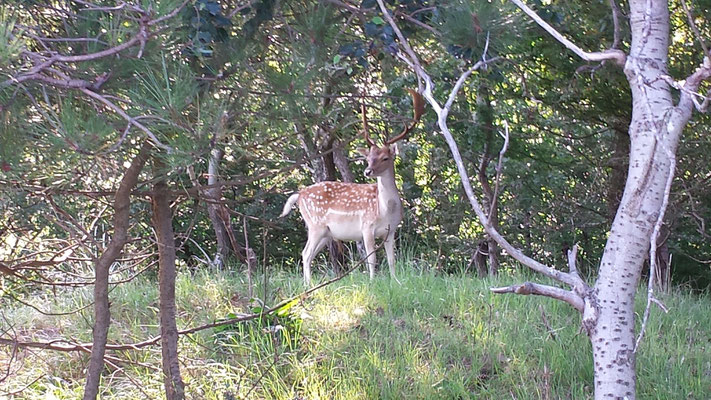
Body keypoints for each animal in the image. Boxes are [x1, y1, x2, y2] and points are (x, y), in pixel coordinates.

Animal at [278, 89, 422, 286]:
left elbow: (392, 259)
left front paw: (396, 282)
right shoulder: (367, 226)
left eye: (385, 157)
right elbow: (372, 258)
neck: (385, 210)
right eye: (368, 158)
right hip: (316, 224)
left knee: (307, 254)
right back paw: (310, 285)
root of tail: (299, 195)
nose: (368, 171)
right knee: (306, 253)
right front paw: (372, 282)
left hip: (325, 233)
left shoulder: (391, 231)